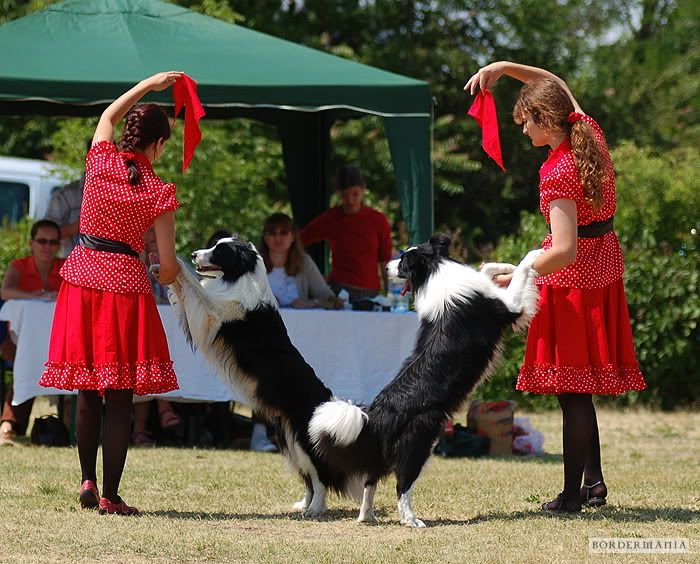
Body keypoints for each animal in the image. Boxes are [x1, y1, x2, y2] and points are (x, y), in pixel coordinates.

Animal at [308, 234, 540, 524]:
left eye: (403, 261)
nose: (386, 267)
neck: (435, 269)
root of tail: (375, 416)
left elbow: (487, 269)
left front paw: (503, 265)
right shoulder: (510, 307)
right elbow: (522, 271)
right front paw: (535, 254)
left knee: (371, 479)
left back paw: (367, 516)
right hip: (419, 443)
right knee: (401, 484)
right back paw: (411, 520)